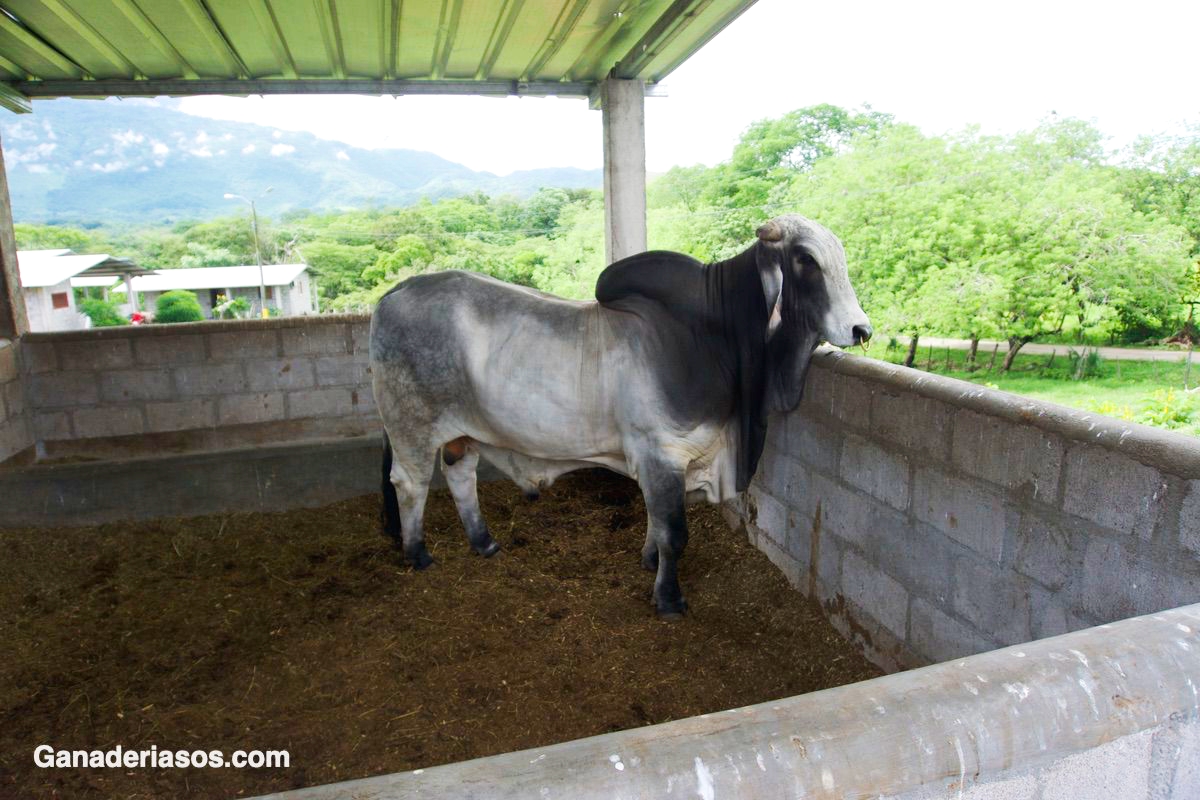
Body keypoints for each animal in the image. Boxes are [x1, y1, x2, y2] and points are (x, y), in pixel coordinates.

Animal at [369, 214, 868, 618]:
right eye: (806, 259)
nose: (861, 329)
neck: (714, 340)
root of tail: (394, 293)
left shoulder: (667, 461)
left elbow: (655, 521)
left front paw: (649, 562)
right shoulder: (661, 452)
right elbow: (674, 533)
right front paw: (668, 600)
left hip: (463, 431)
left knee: (460, 474)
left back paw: (483, 542)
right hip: (411, 425)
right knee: (410, 484)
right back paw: (418, 554)